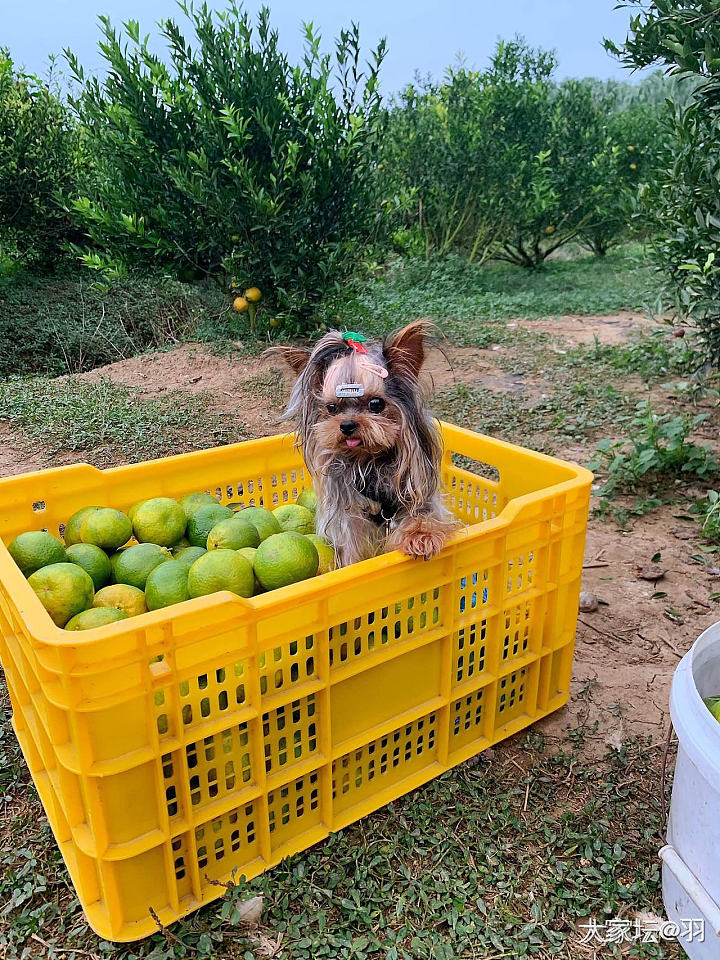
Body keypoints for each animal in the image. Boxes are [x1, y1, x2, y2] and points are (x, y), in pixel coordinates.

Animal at [270, 318, 456, 568]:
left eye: (376, 404)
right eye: (332, 408)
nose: (347, 425)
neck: (368, 459)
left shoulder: (417, 492)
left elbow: (422, 515)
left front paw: (421, 537)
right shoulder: (348, 516)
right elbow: (351, 546)